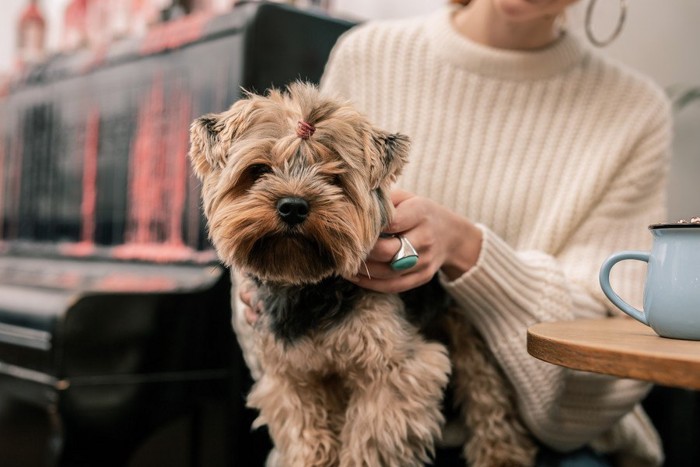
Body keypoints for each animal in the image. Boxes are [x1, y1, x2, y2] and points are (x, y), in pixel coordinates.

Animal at [189, 84, 532, 467]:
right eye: (259, 170)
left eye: (334, 177)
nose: (293, 206)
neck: (308, 286)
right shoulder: (291, 376)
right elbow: (307, 435)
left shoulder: (394, 372)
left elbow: (370, 441)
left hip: (464, 330)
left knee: (486, 394)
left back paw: (502, 452)